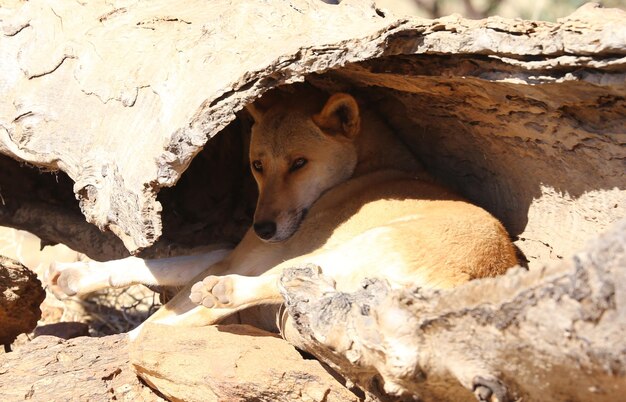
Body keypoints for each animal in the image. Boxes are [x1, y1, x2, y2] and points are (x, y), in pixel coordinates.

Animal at [46, 87, 516, 340]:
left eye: (299, 163)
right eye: (257, 165)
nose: (264, 227)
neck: (370, 165)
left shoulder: (251, 254)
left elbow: (169, 289)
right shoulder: (241, 250)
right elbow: (154, 264)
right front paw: (75, 277)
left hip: (350, 247)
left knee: (211, 305)